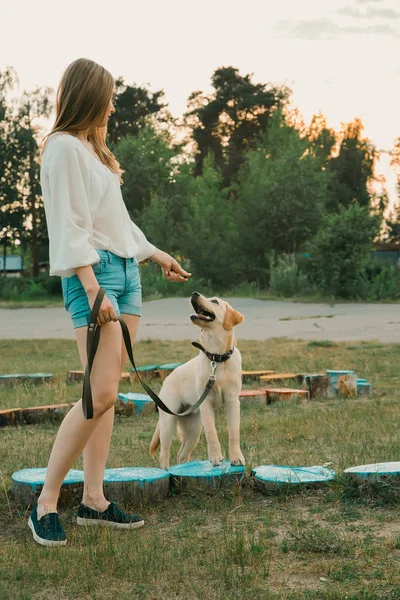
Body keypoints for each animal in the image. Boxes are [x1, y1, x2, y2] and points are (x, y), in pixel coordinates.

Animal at [149, 290, 244, 468]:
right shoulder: (206, 404)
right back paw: (166, 471)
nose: (194, 293)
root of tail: (167, 378)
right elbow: (212, 432)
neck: (217, 358)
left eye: (214, 301)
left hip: (193, 429)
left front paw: (236, 457)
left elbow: (234, 432)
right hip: (168, 422)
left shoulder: (232, 401)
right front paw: (215, 457)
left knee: (181, 454)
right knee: (164, 454)